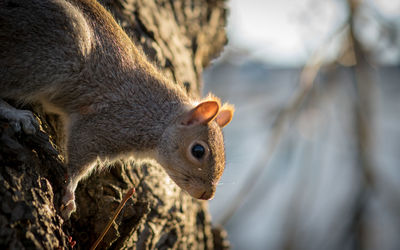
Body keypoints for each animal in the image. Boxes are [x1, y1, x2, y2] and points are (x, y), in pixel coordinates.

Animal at [0, 0, 233, 219]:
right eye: (198, 151)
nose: (207, 194)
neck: (158, 119)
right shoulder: (108, 122)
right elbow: (79, 157)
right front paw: (70, 194)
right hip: (54, 49)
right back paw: (16, 114)